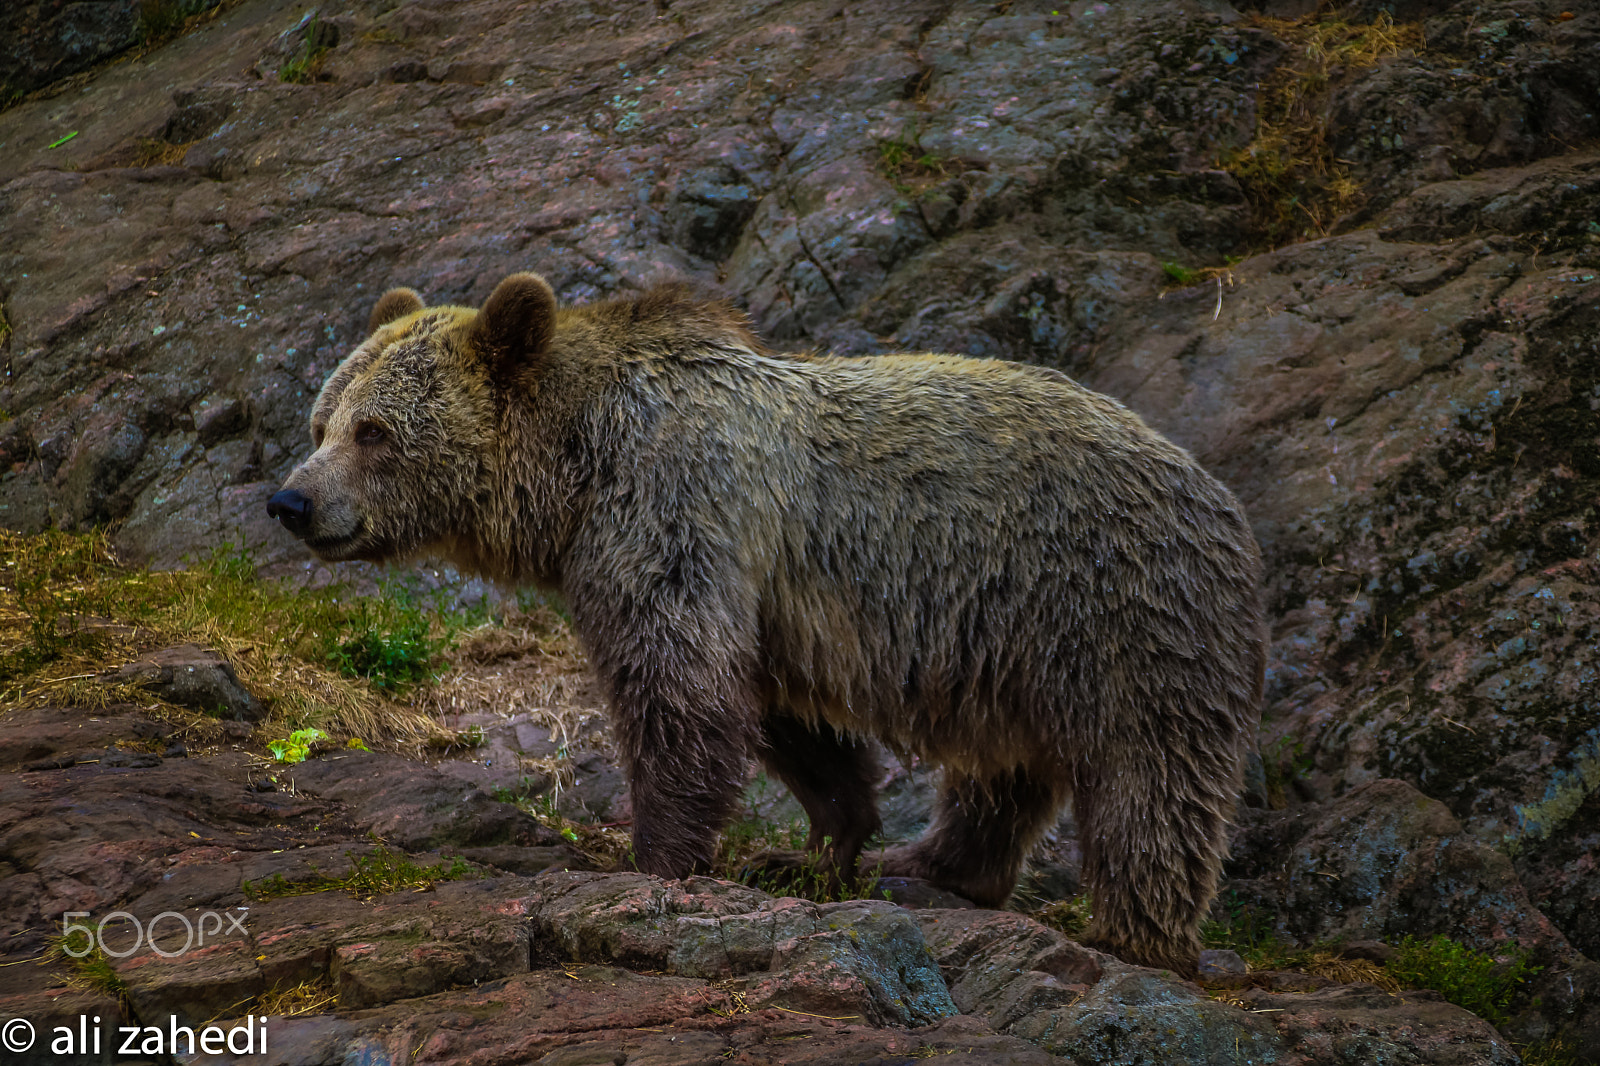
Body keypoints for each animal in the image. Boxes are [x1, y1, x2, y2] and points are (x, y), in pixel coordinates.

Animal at [268, 272, 1260, 973]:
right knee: (1003, 766)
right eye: (321, 420)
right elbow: (777, 711)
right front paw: (821, 844)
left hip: (1114, 610)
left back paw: (1131, 933)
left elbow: (679, 684)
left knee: (1147, 779)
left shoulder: (672, 510)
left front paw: (651, 858)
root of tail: (1217, 492)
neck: (577, 471)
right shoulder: (756, 591)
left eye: (374, 431)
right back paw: (933, 863)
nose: (291, 501)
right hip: (1009, 644)